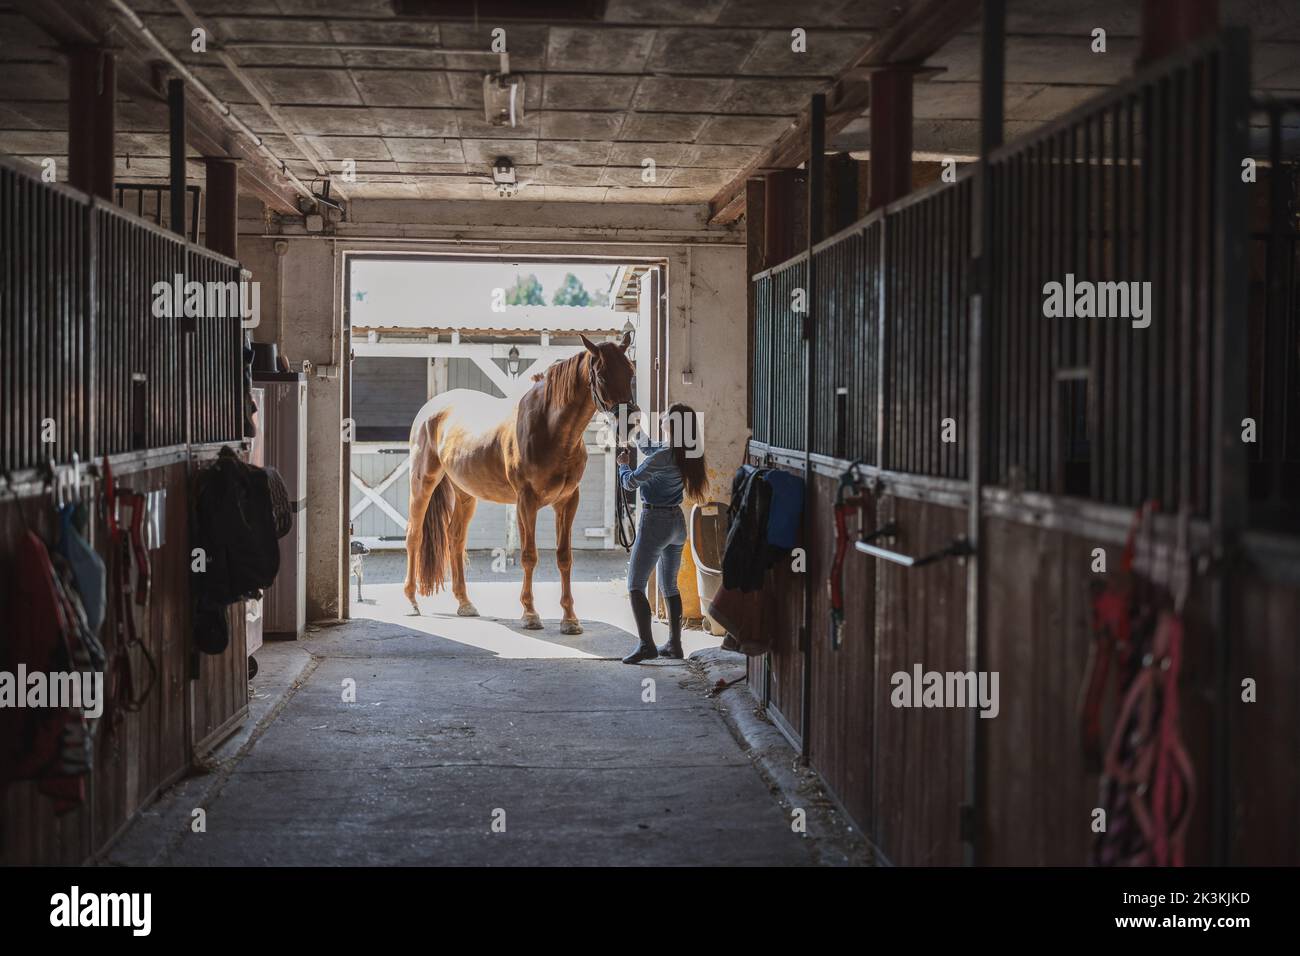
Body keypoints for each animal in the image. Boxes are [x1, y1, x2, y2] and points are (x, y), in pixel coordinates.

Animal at [403, 332, 636, 634]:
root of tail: (432, 409)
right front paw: (530, 614)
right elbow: (529, 556)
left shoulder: (567, 501)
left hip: (465, 494)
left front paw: (570, 619)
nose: (631, 421)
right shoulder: (527, 501)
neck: (550, 429)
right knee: (414, 535)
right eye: (602, 375)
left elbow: (564, 557)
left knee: (455, 539)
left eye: (630, 372)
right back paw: (411, 601)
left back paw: (464, 603)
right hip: (423, 482)